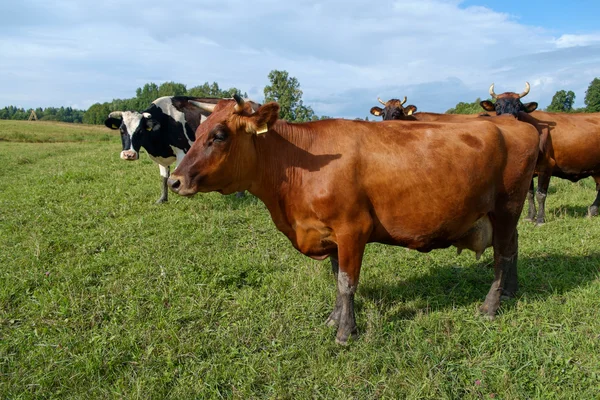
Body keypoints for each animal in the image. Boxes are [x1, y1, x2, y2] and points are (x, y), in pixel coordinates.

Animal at [168, 95, 540, 346]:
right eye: (196, 132)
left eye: (219, 135)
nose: (175, 180)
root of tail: (512, 123)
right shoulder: (328, 234)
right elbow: (337, 280)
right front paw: (333, 319)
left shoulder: (352, 229)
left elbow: (348, 282)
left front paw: (346, 332)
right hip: (506, 213)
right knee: (513, 248)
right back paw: (511, 292)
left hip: (507, 206)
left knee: (502, 255)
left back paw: (491, 305)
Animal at [480, 83, 600, 223]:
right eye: (498, 105)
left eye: (519, 105)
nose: (509, 119)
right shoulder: (528, 169)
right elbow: (529, 194)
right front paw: (530, 216)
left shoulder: (546, 166)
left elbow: (540, 194)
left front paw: (540, 219)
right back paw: (592, 211)